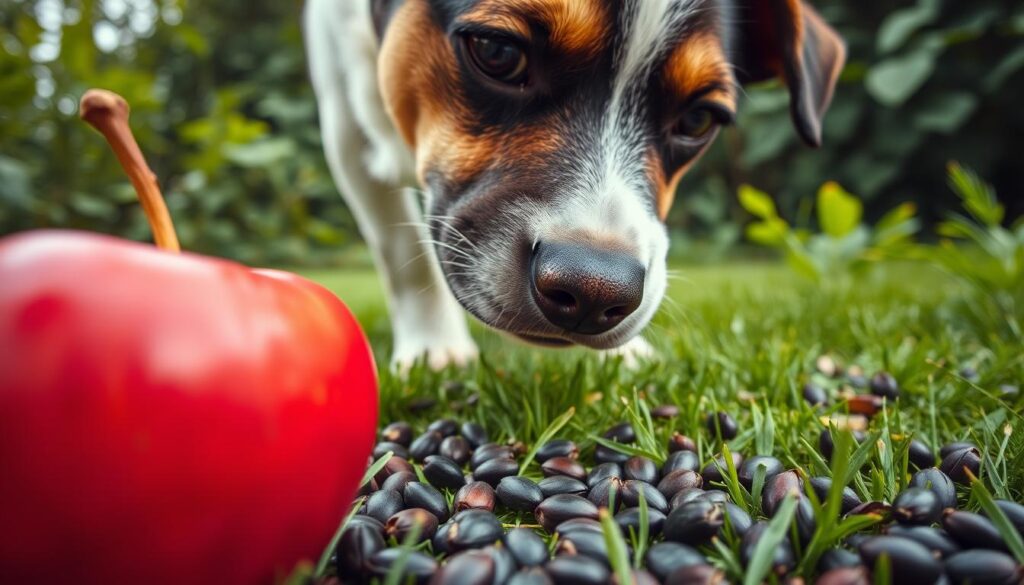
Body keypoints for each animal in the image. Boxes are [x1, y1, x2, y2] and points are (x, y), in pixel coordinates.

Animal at [299, 0, 843, 370]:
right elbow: (402, 254)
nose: (594, 292)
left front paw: (625, 357)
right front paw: (435, 349)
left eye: (697, 119)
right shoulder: (346, 127)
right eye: (497, 51)